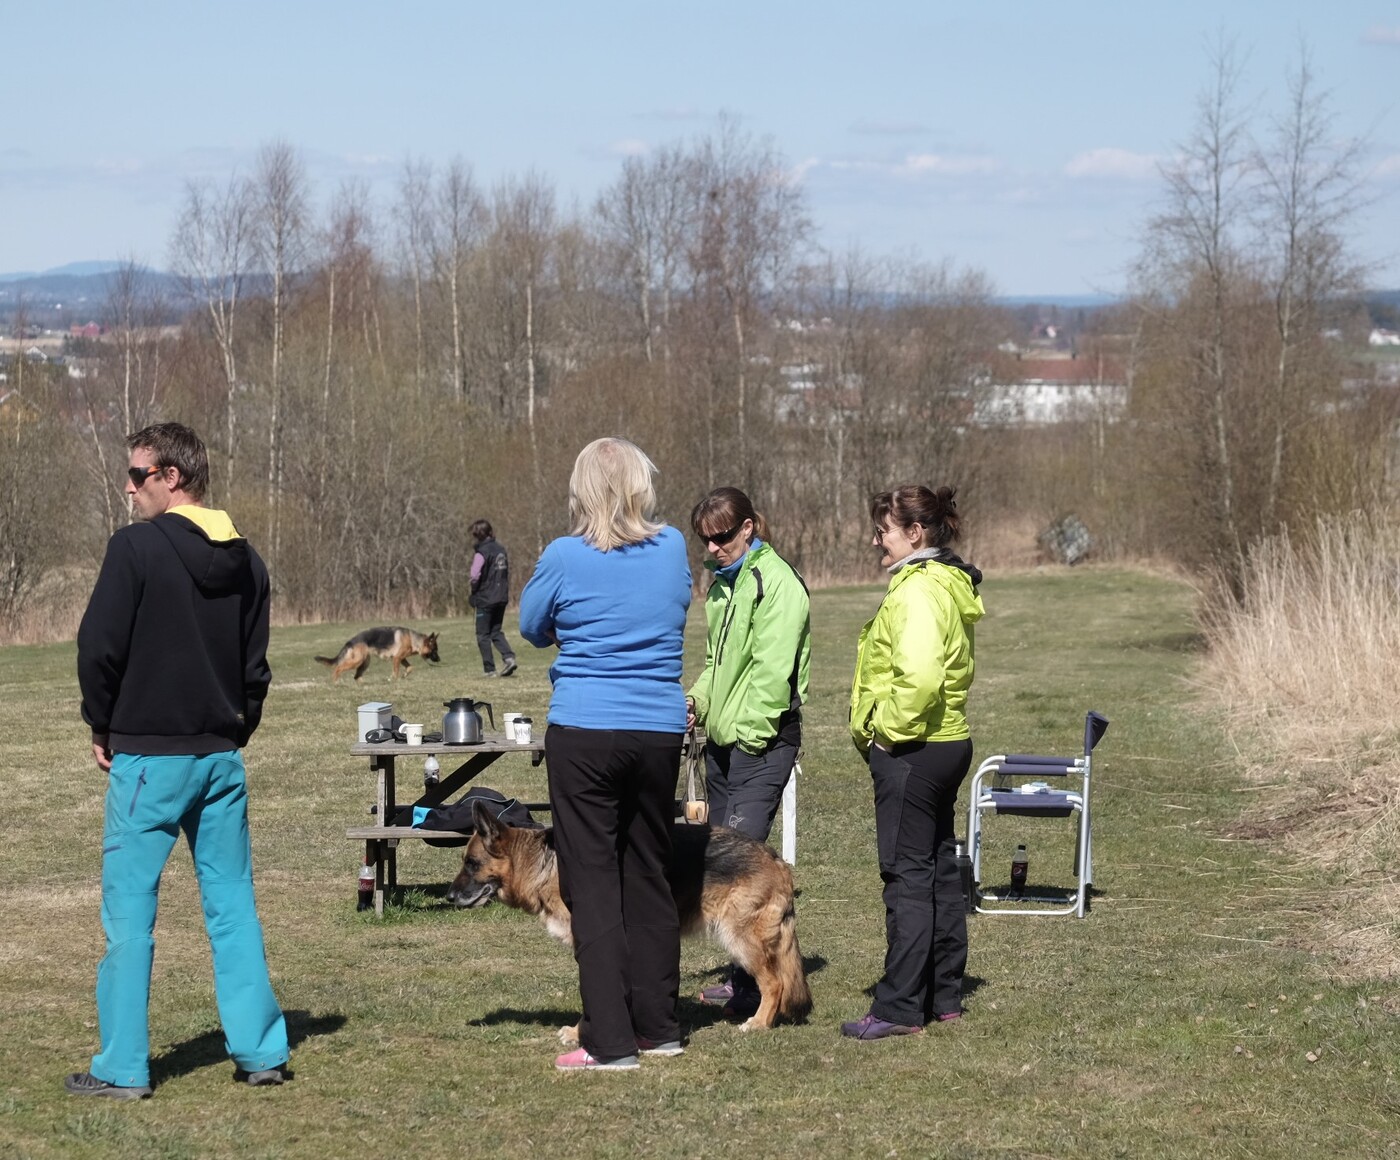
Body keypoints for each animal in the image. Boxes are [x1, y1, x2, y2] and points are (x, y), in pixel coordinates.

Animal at [447, 800, 812, 1034]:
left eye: (471, 864)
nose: (449, 897)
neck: (542, 865)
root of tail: (778, 861)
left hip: (740, 939)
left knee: (775, 983)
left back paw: (759, 1023)